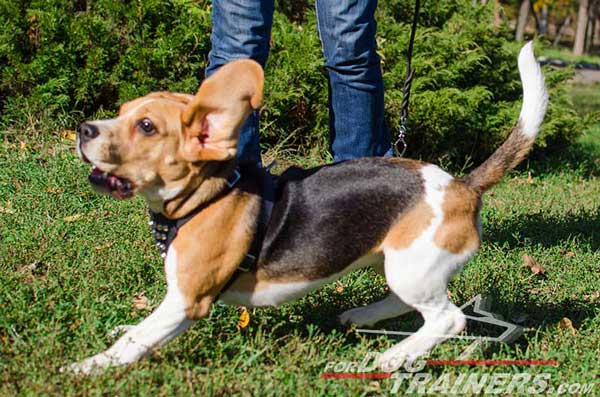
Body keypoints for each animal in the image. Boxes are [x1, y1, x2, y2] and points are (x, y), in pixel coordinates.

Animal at [67, 41, 548, 372]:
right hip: (398, 262)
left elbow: (137, 340)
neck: (206, 197)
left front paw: (87, 366)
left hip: (412, 268)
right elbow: (138, 331)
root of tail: (461, 186)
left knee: (449, 320)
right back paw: (361, 316)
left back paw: (394, 357)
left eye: (147, 126)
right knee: (406, 302)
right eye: (122, 111)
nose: (84, 129)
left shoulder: (187, 300)